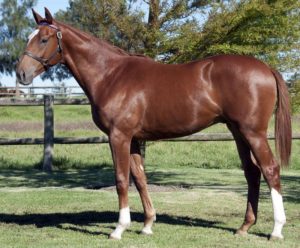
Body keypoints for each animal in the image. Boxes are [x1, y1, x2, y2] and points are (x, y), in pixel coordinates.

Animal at [16, 8, 290, 240]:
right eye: (30, 37)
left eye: (44, 39)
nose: (21, 74)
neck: (110, 75)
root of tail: (266, 68)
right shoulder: (134, 139)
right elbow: (140, 178)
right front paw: (147, 224)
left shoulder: (119, 136)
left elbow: (121, 179)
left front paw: (119, 229)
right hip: (238, 132)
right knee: (252, 173)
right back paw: (244, 227)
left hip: (253, 133)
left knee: (270, 169)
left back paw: (276, 230)